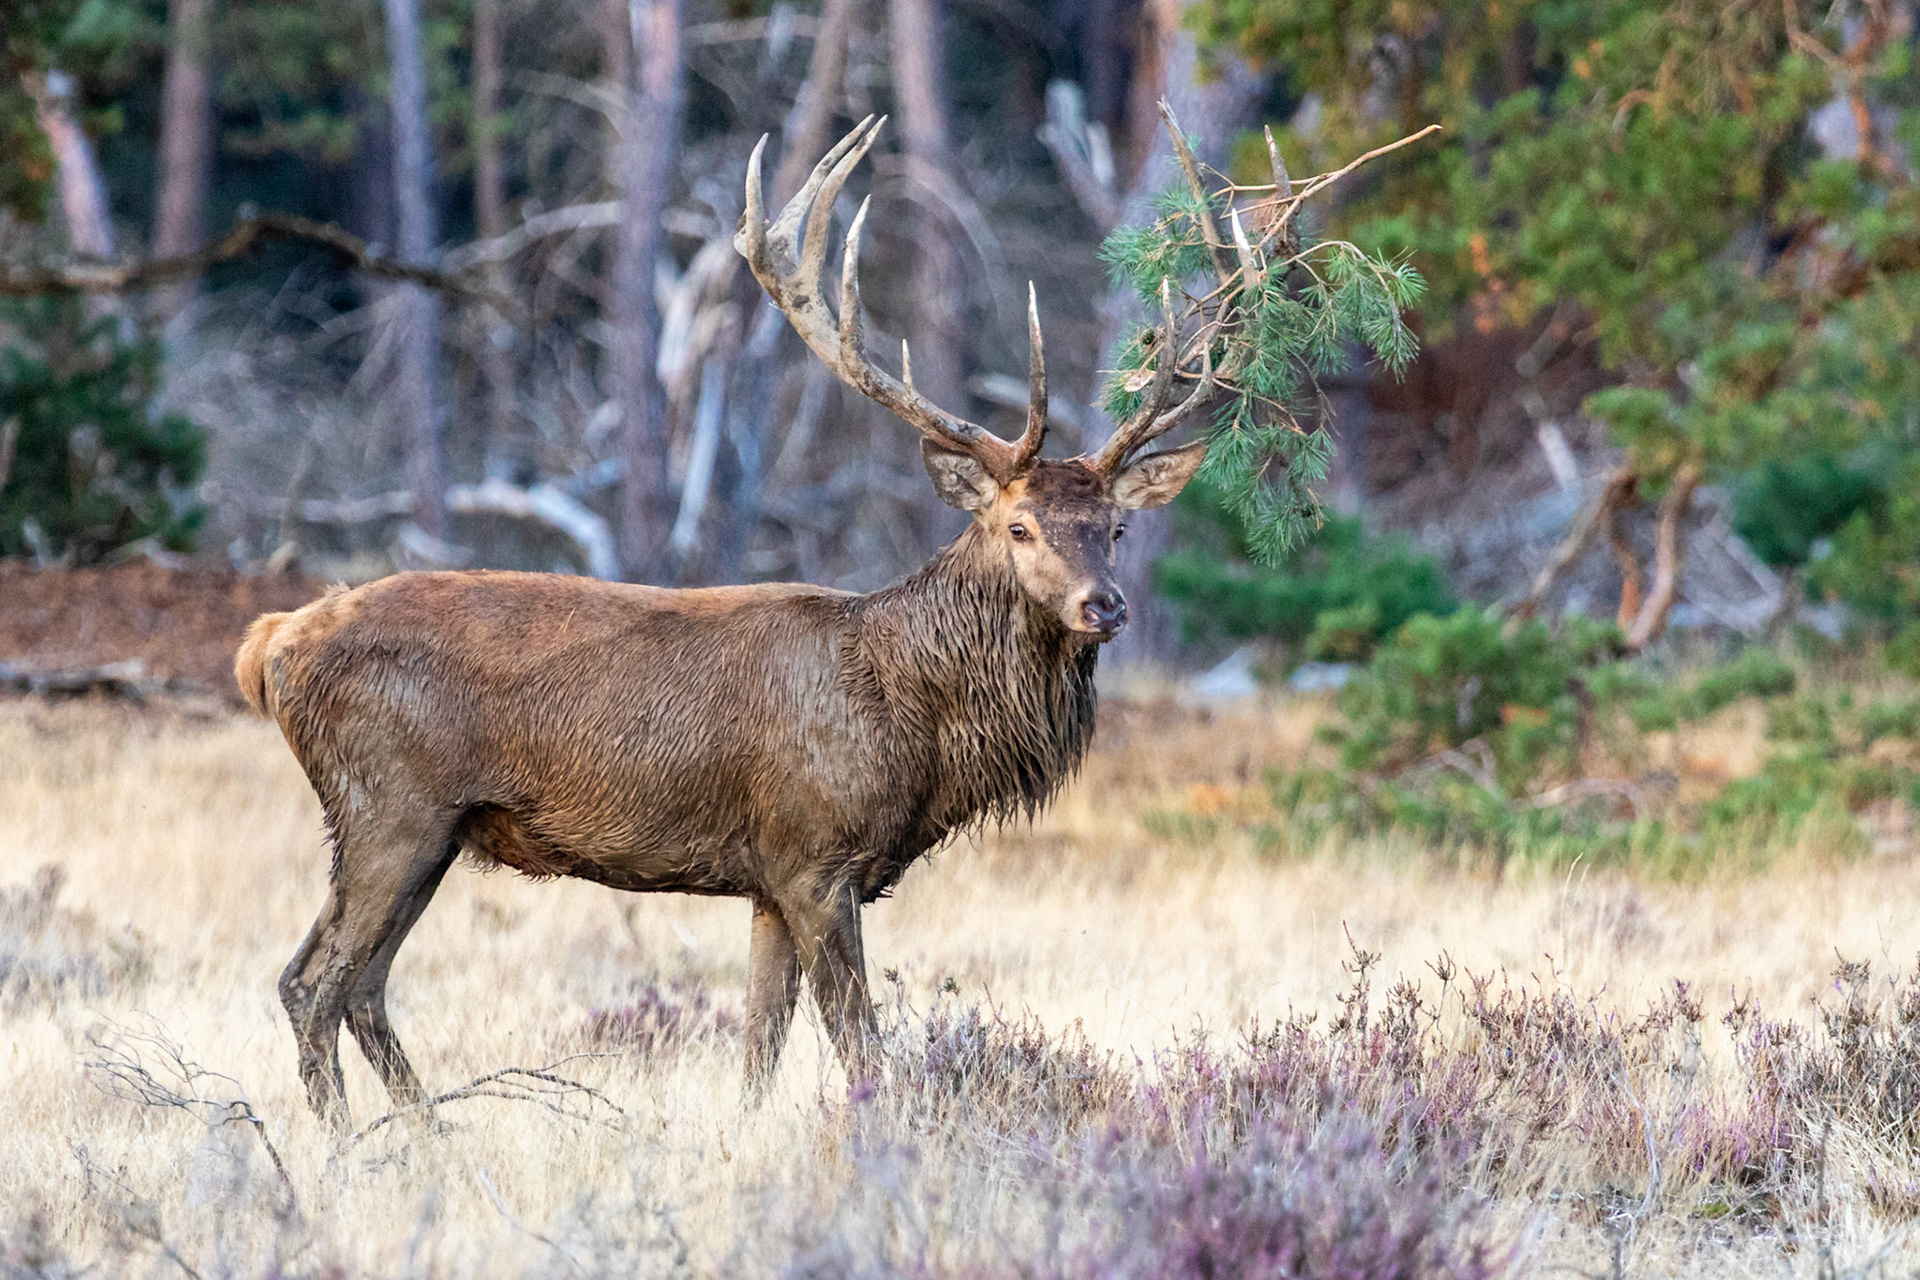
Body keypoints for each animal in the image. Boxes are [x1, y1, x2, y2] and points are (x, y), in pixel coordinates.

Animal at [235, 117, 1216, 1128]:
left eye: (1116, 527)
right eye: (1017, 526)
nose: (1104, 605)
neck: (913, 728)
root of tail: (271, 646)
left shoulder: (768, 878)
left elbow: (760, 1046)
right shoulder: (817, 856)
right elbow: (857, 1042)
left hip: (424, 827)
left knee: (361, 984)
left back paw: (429, 1131)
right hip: (388, 802)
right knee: (313, 982)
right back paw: (353, 1140)